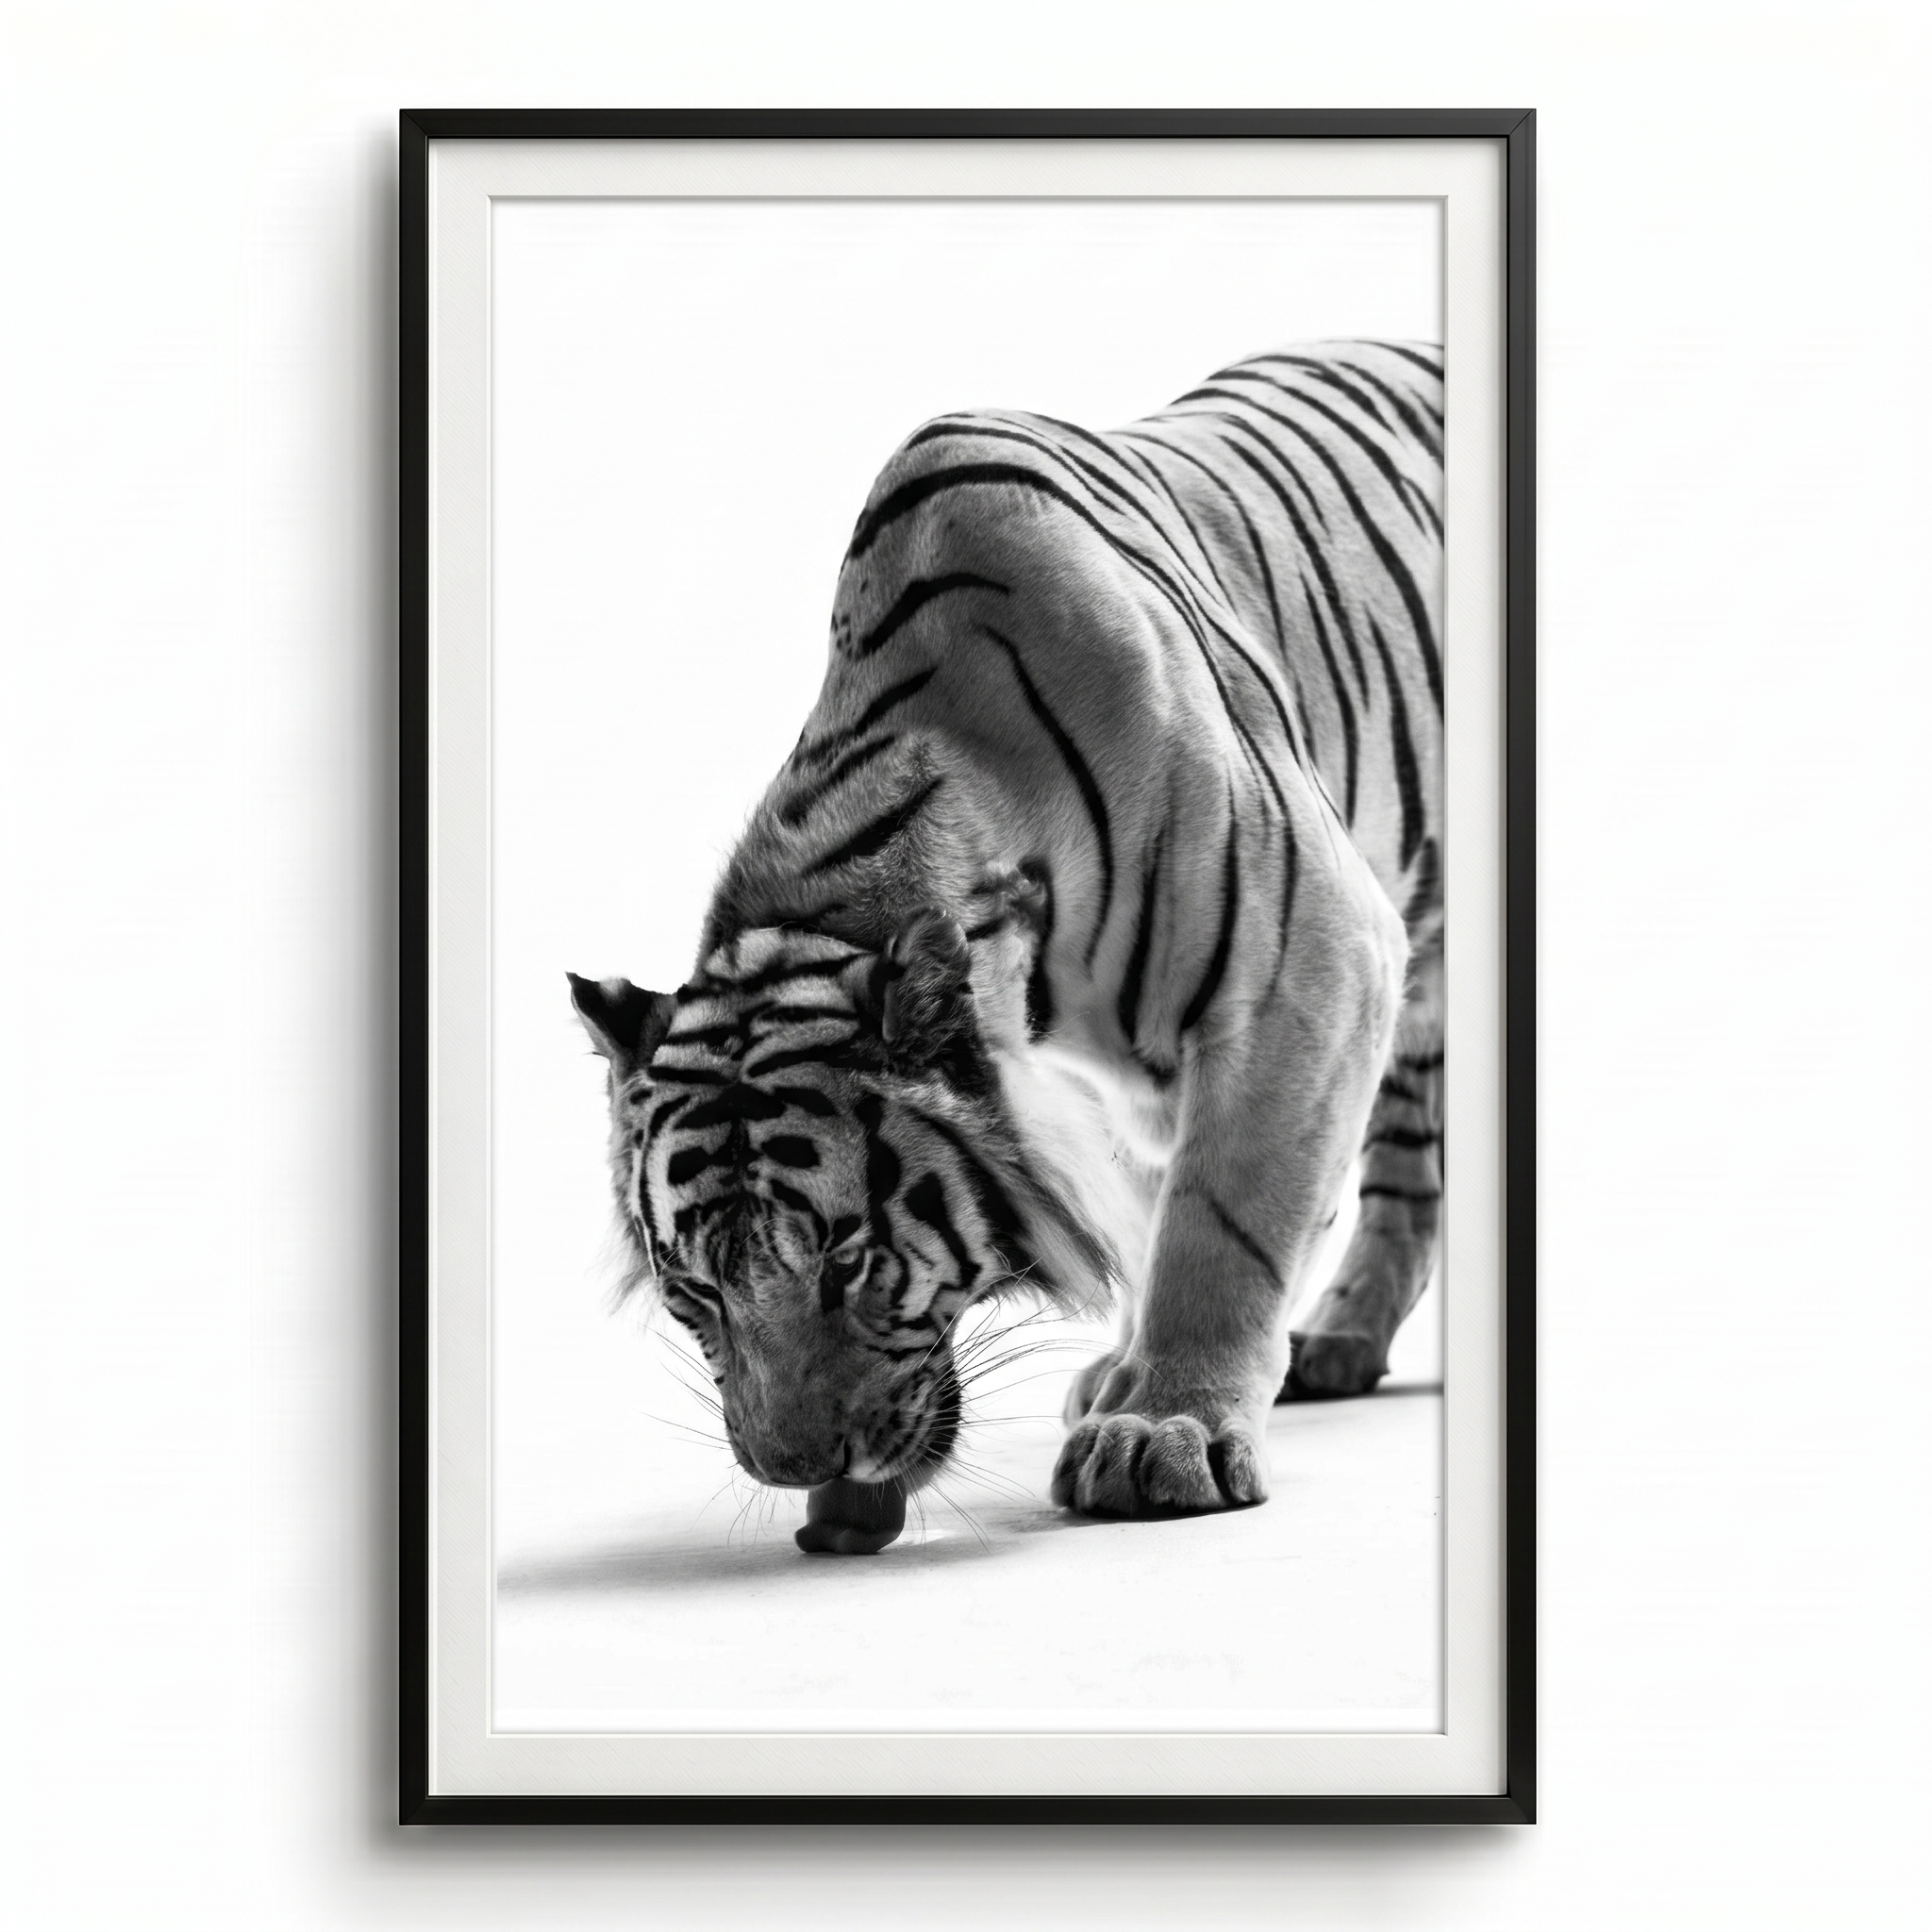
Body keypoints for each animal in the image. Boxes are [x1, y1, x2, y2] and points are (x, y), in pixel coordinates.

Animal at [570, 339, 1443, 1545]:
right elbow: (1153, 1211)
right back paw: (1342, 1340)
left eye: (847, 1259)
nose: (793, 1471)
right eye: (693, 1290)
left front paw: (1164, 1428)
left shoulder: (1309, 960)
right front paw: (1127, 1379)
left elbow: (1222, 1225)